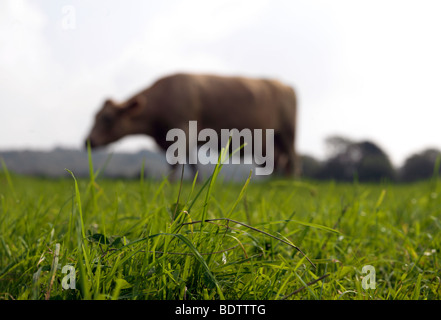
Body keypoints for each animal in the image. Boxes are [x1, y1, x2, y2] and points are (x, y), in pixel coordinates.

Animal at [84, 72, 300, 178]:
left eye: (107, 118)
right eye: (95, 116)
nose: (87, 141)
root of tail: (285, 85)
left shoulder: (183, 130)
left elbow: (175, 162)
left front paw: (169, 184)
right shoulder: (185, 138)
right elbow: (191, 163)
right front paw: (196, 182)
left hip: (288, 133)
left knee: (292, 160)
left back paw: (290, 185)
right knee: (280, 161)